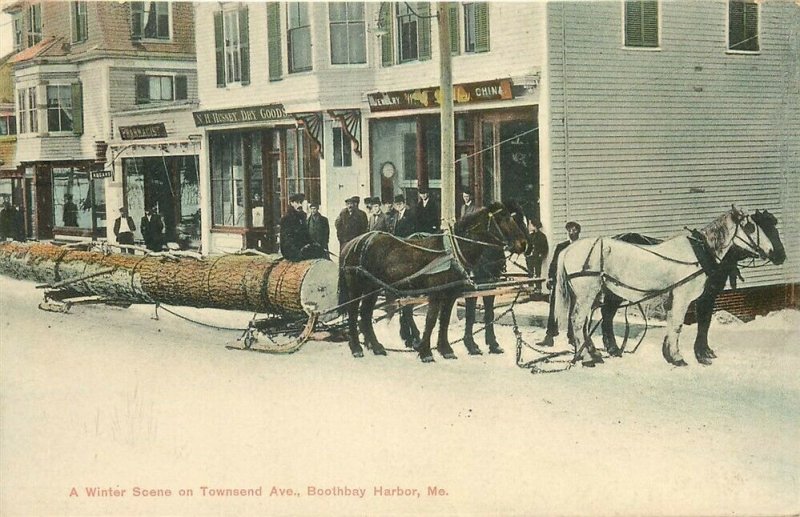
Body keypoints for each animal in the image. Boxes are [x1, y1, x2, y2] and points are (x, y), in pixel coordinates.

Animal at [340, 200, 532, 360]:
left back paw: (377, 346)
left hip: (372, 287)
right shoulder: (437, 293)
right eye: (503, 218)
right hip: (356, 286)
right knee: (353, 312)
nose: (524, 244)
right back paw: (357, 347)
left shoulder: (452, 293)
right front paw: (426, 352)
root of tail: (352, 243)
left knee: (366, 314)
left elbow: (445, 320)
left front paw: (445, 349)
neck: (452, 252)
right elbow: (432, 320)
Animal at [552, 206, 784, 366]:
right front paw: (679, 356)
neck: (701, 254)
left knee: (589, 320)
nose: (778, 255)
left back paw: (595, 352)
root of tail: (570, 249)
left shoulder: (681, 297)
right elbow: (681, 324)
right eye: (751, 227)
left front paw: (674, 354)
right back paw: (586, 357)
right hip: (587, 293)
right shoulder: (684, 296)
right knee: (578, 321)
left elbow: (681, 323)